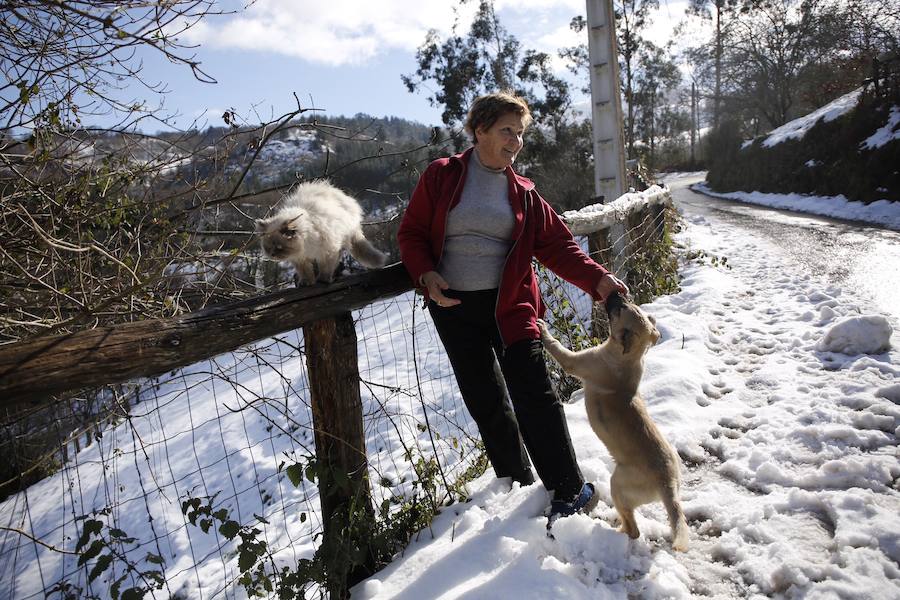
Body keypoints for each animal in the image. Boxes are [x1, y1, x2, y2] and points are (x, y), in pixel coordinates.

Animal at [256, 179, 390, 284]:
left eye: (279, 247)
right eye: (268, 248)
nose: (272, 255)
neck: (305, 246)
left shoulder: (327, 251)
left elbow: (325, 268)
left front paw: (323, 280)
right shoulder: (300, 259)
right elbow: (305, 272)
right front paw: (306, 283)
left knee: (337, 260)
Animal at [536, 300, 692, 552]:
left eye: (619, 309)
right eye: (629, 304)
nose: (615, 295)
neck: (629, 358)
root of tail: (667, 484)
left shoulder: (578, 361)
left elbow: (558, 348)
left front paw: (542, 330)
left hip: (617, 484)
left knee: (633, 530)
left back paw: (613, 531)